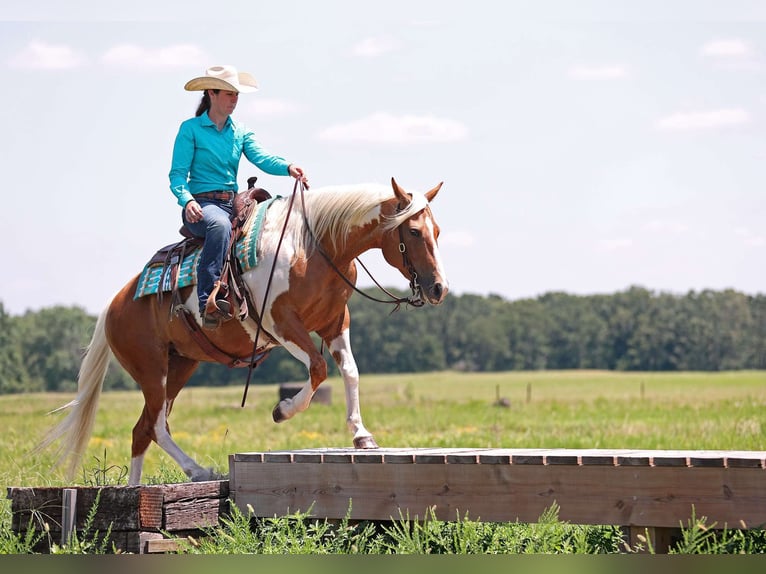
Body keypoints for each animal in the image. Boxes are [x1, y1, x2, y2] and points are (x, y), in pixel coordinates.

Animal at [39, 177, 447, 485]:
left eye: (438, 231)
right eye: (413, 231)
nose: (438, 288)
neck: (313, 248)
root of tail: (114, 304)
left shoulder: (335, 322)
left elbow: (349, 370)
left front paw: (362, 435)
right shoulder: (280, 322)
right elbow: (318, 368)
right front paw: (283, 410)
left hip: (181, 365)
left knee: (144, 429)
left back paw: (135, 490)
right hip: (151, 369)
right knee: (154, 425)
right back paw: (198, 471)